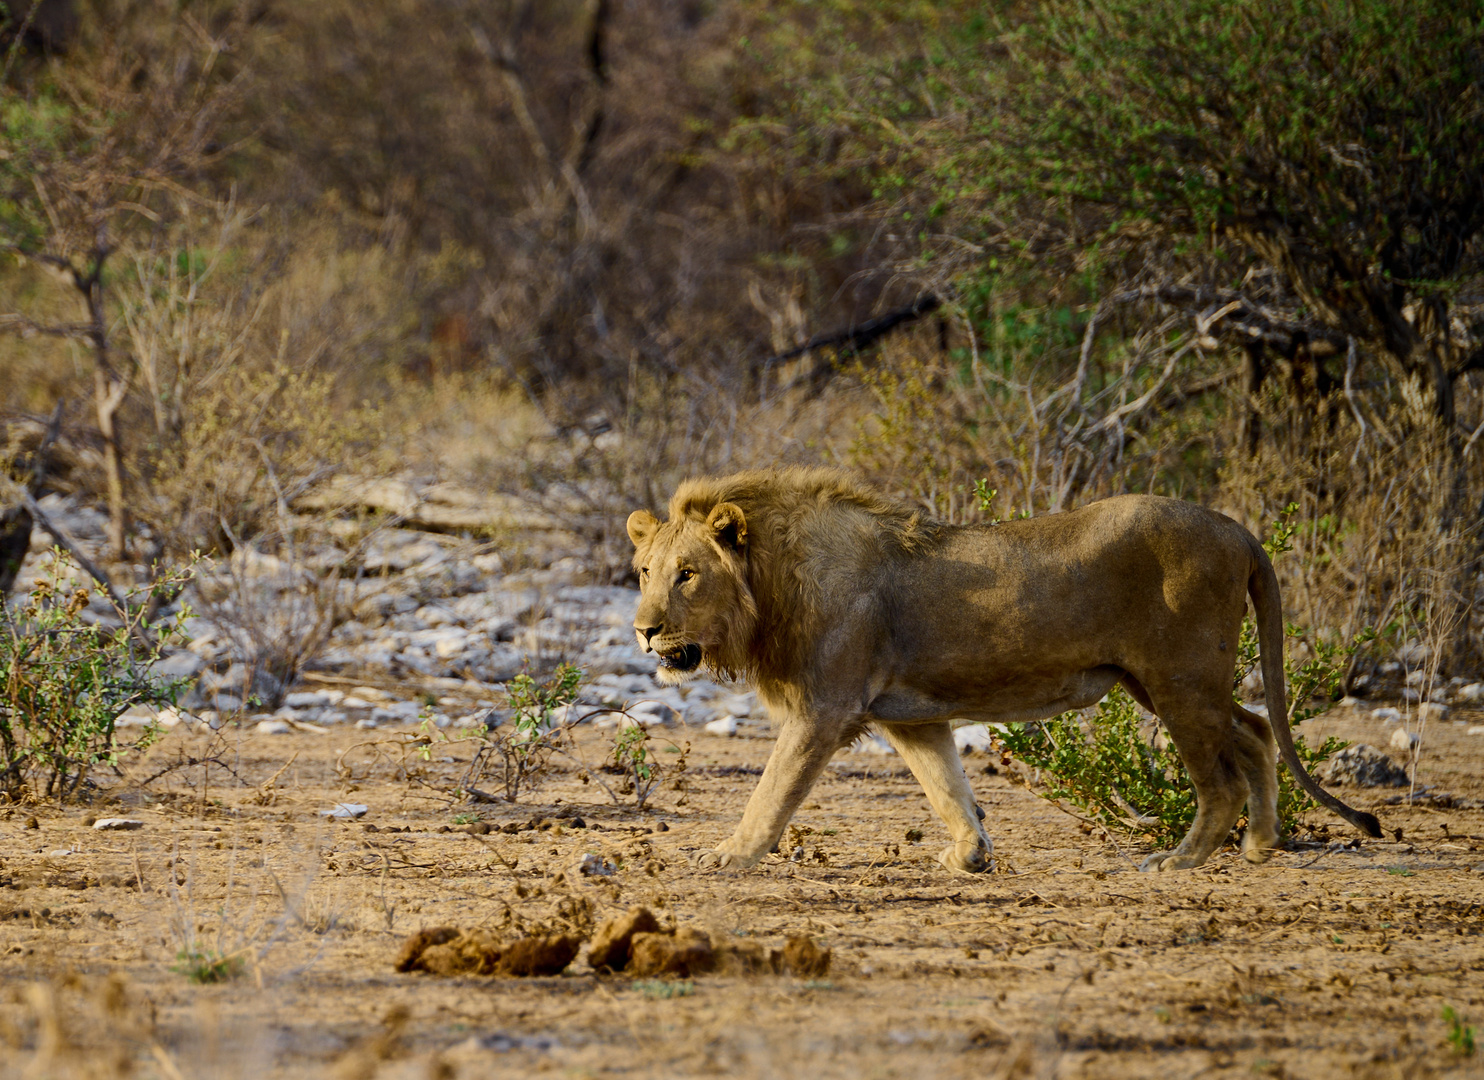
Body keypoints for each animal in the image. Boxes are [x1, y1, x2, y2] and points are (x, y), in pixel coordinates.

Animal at [626, 468, 1377, 872]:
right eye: (644, 573)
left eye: (687, 575)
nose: (644, 629)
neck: (771, 584)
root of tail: (1236, 529)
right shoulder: (910, 716)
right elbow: (946, 786)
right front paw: (970, 854)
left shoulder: (824, 710)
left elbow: (772, 792)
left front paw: (730, 855)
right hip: (1174, 683)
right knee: (1255, 732)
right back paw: (1261, 843)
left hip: (1179, 679)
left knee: (1221, 778)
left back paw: (1180, 860)